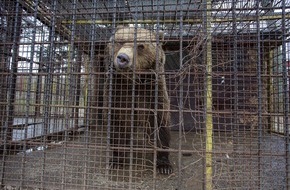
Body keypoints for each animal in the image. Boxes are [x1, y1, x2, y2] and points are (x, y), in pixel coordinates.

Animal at [104, 26, 172, 175]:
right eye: (120, 41)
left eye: (141, 46)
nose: (123, 58)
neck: (134, 82)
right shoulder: (119, 92)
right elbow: (119, 124)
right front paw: (116, 160)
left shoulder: (152, 90)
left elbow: (159, 123)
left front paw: (164, 164)